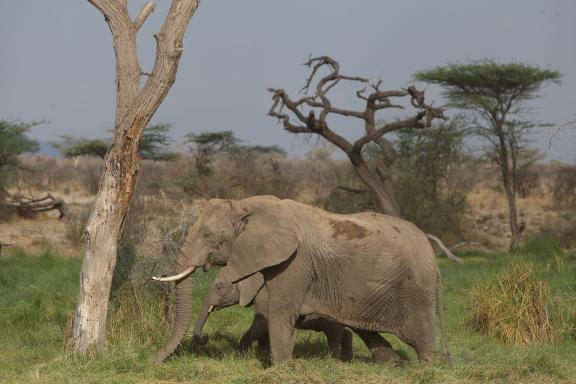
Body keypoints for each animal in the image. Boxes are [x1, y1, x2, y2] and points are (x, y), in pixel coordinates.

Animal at [194, 270, 354, 360]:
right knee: (344, 333)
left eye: (219, 286)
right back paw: (347, 359)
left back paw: (333, 360)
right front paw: (262, 353)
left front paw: (241, 354)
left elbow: (261, 326)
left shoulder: (266, 296)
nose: (205, 337)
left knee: (333, 335)